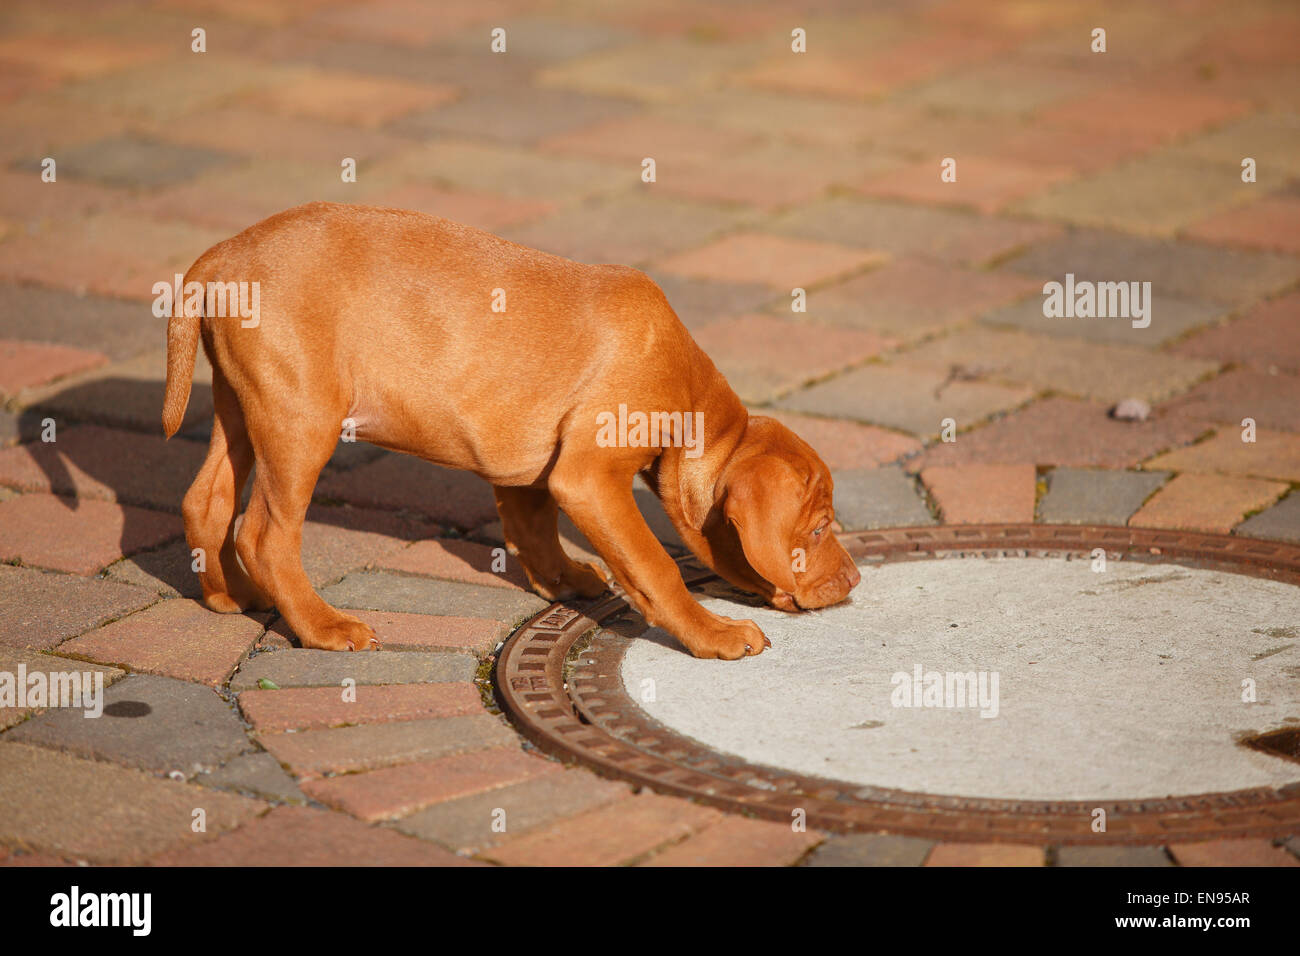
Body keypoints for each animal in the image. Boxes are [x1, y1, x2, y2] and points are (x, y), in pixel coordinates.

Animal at [165, 204, 863, 658]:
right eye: (818, 530)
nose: (857, 582)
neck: (689, 397)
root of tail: (220, 255)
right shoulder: (587, 477)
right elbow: (657, 566)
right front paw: (711, 633)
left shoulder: (533, 467)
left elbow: (533, 527)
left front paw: (564, 580)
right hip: (301, 418)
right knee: (264, 534)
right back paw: (320, 625)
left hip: (243, 406)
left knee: (205, 499)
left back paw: (231, 595)